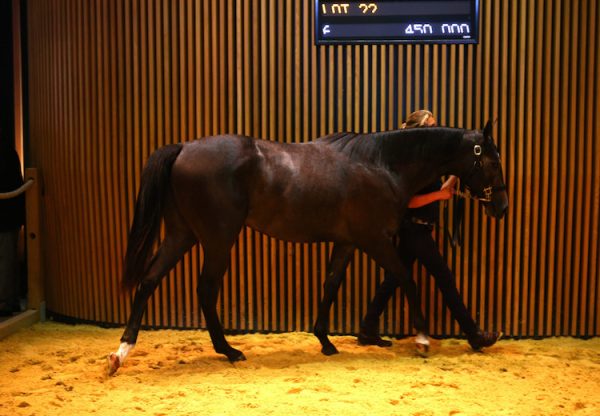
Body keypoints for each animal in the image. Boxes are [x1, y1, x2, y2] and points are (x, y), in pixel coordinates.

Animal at [106, 121, 506, 374]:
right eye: (491, 159)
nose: (501, 207)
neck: (380, 164)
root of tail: (184, 148)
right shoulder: (374, 240)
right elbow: (406, 278)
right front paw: (422, 340)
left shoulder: (346, 242)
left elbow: (330, 285)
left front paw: (326, 341)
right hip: (217, 239)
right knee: (205, 290)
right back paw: (229, 351)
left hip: (182, 234)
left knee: (149, 280)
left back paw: (121, 353)